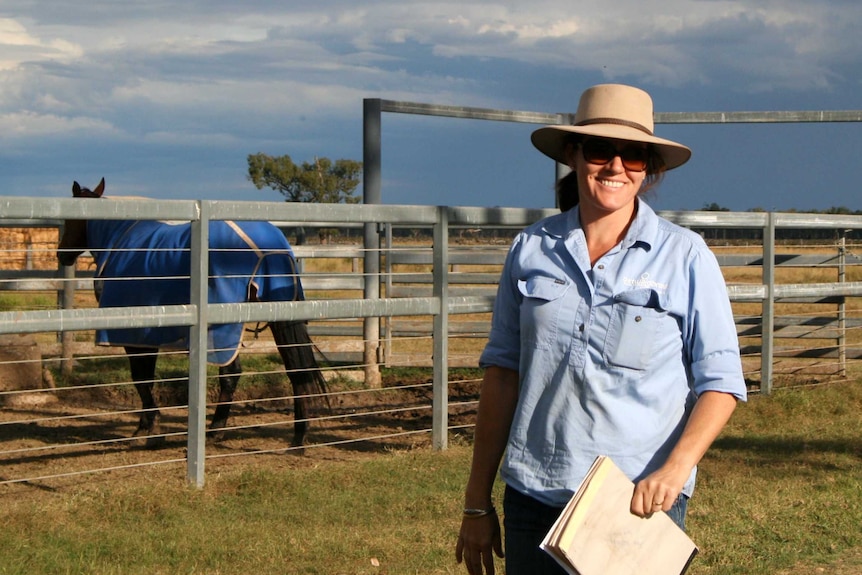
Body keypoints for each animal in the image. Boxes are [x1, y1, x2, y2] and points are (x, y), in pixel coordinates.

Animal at [57, 178, 328, 448]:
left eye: (70, 220)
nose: (62, 254)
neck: (119, 243)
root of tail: (268, 246)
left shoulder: (135, 333)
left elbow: (141, 377)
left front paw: (149, 426)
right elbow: (145, 376)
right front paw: (148, 425)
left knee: (231, 373)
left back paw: (216, 429)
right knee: (296, 370)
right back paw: (298, 435)